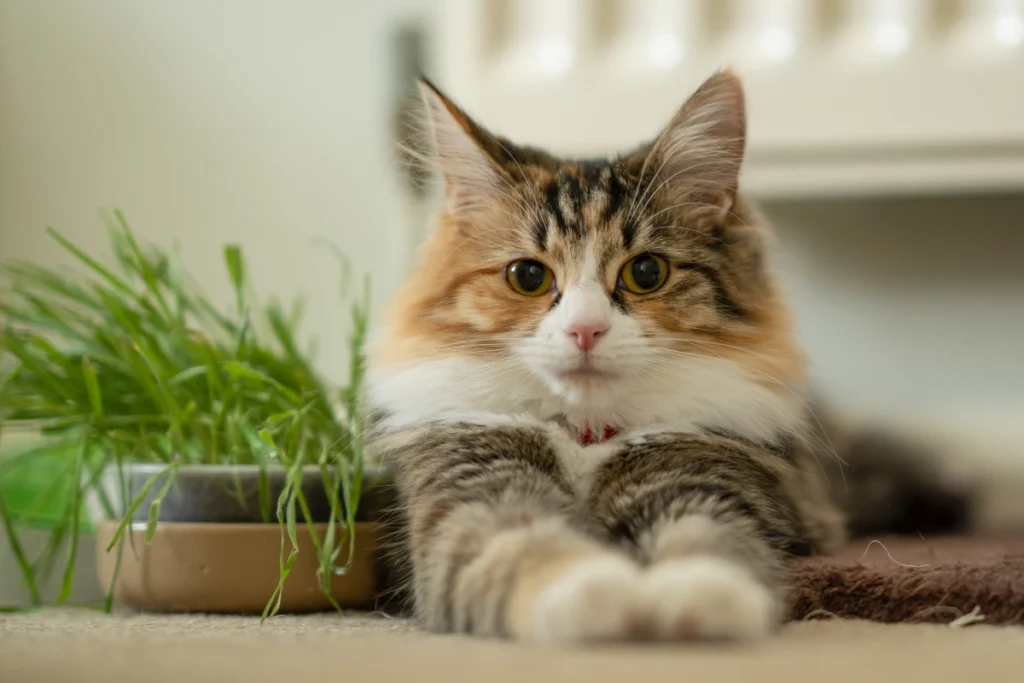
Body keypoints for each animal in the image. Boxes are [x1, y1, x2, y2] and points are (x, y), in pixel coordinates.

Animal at [366, 72, 966, 643]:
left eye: (646, 272)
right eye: (528, 276)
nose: (585, 329)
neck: (587, 435)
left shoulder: (705, 474)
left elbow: (705, 541)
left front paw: (700, 599)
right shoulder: (469, 486)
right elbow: (522, 548)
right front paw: (603, 596)